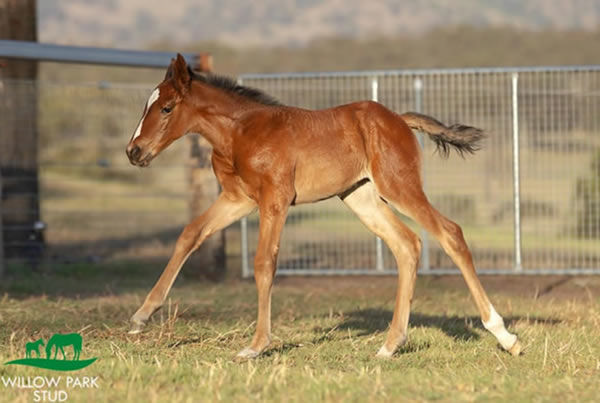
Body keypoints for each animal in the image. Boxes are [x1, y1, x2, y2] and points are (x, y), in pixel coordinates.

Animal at [125, 54, 520, 360]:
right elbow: (190, 234)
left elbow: (264, 262)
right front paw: (141, 316)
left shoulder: (275, 199)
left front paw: (256, 345)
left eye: (166, 108)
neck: (240, 133)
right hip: (361, 197)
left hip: (399, 185)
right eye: (146, 106)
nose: (134, 151)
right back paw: (390, 346)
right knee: (407, 244)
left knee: (449, 233)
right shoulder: (237, 199)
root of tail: (398, 119)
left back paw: (505, 336)